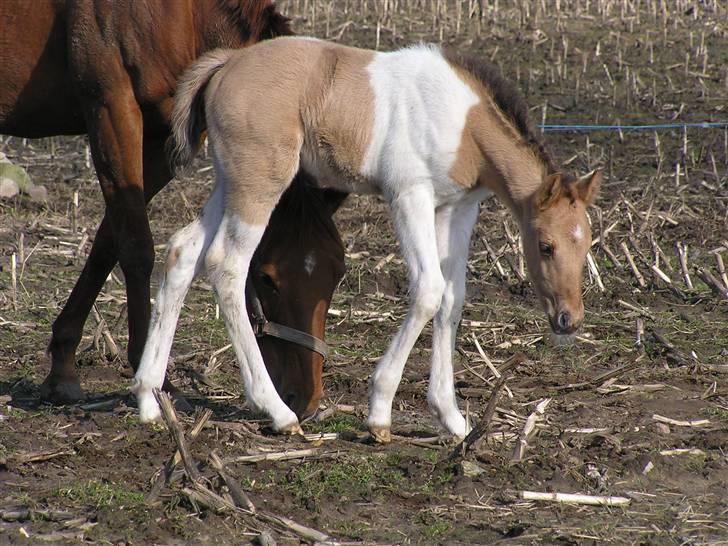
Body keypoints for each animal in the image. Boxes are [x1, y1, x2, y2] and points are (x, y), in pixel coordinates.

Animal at [0, 1, 344, 416]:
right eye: (266, 278)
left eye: (338, 274)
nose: (306, 398)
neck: (184, 16)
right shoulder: (112, 109)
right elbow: (136, 247)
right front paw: (151, 375)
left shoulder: (165, 134)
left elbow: (107, 241)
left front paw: (63, 365)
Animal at [134, 36, 600, 440]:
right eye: (545, 246)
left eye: (587, 245)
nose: (570, 320)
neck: (464, 122)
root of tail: (227, 63)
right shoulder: (409, 194)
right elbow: (428, 291)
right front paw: (379, 413)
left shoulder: (457, 208)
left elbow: (452, 299)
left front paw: (451, 417)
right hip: (259, 182)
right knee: (226, 265)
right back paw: (277, 411)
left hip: (230, 183)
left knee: (183, 252)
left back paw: (148, 400)